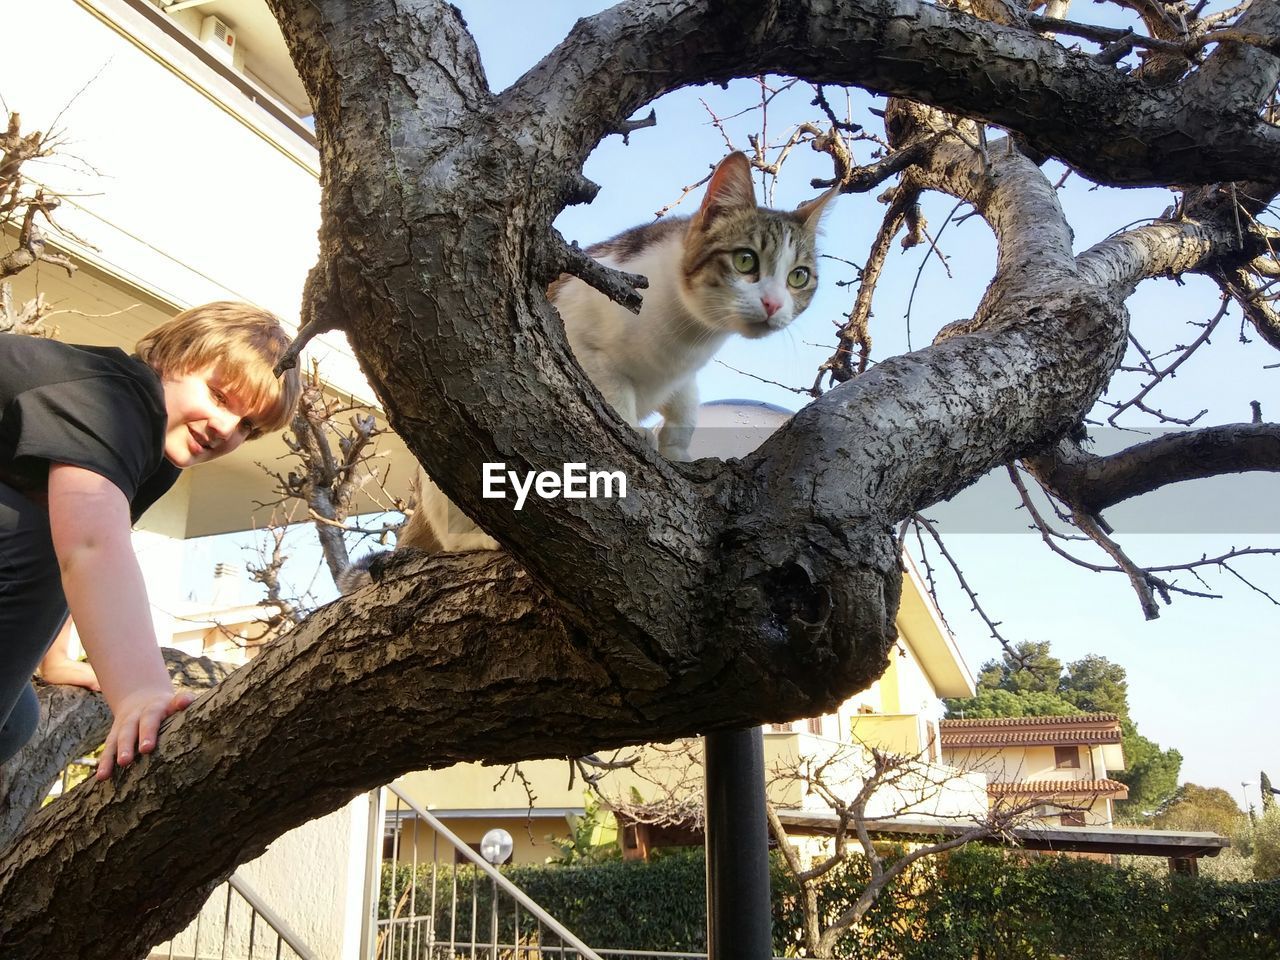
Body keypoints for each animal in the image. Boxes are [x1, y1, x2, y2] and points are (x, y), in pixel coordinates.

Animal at [340, 152, 834, 591]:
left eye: (799, 277)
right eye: (746, 260)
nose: (773, 305)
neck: (689, 336)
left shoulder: (682, 378)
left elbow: (687, 408)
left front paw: (676, 450)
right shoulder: (576, 333)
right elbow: (614, 390)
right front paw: (634, 431)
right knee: (449, 535)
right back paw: (482, 540)